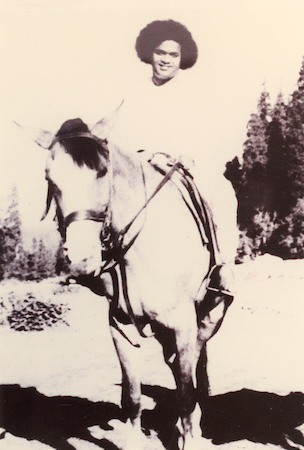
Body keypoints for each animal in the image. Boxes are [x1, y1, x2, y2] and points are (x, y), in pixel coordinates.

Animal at [22, 114, 233, 448]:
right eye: (49, 178)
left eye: (102, 172)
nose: (82, 258)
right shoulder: (120, 325)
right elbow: (132, 396)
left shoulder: (184, 325)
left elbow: (186, 393)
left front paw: (190, 432)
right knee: (174, 363)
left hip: (212, 310)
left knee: (195, 361)